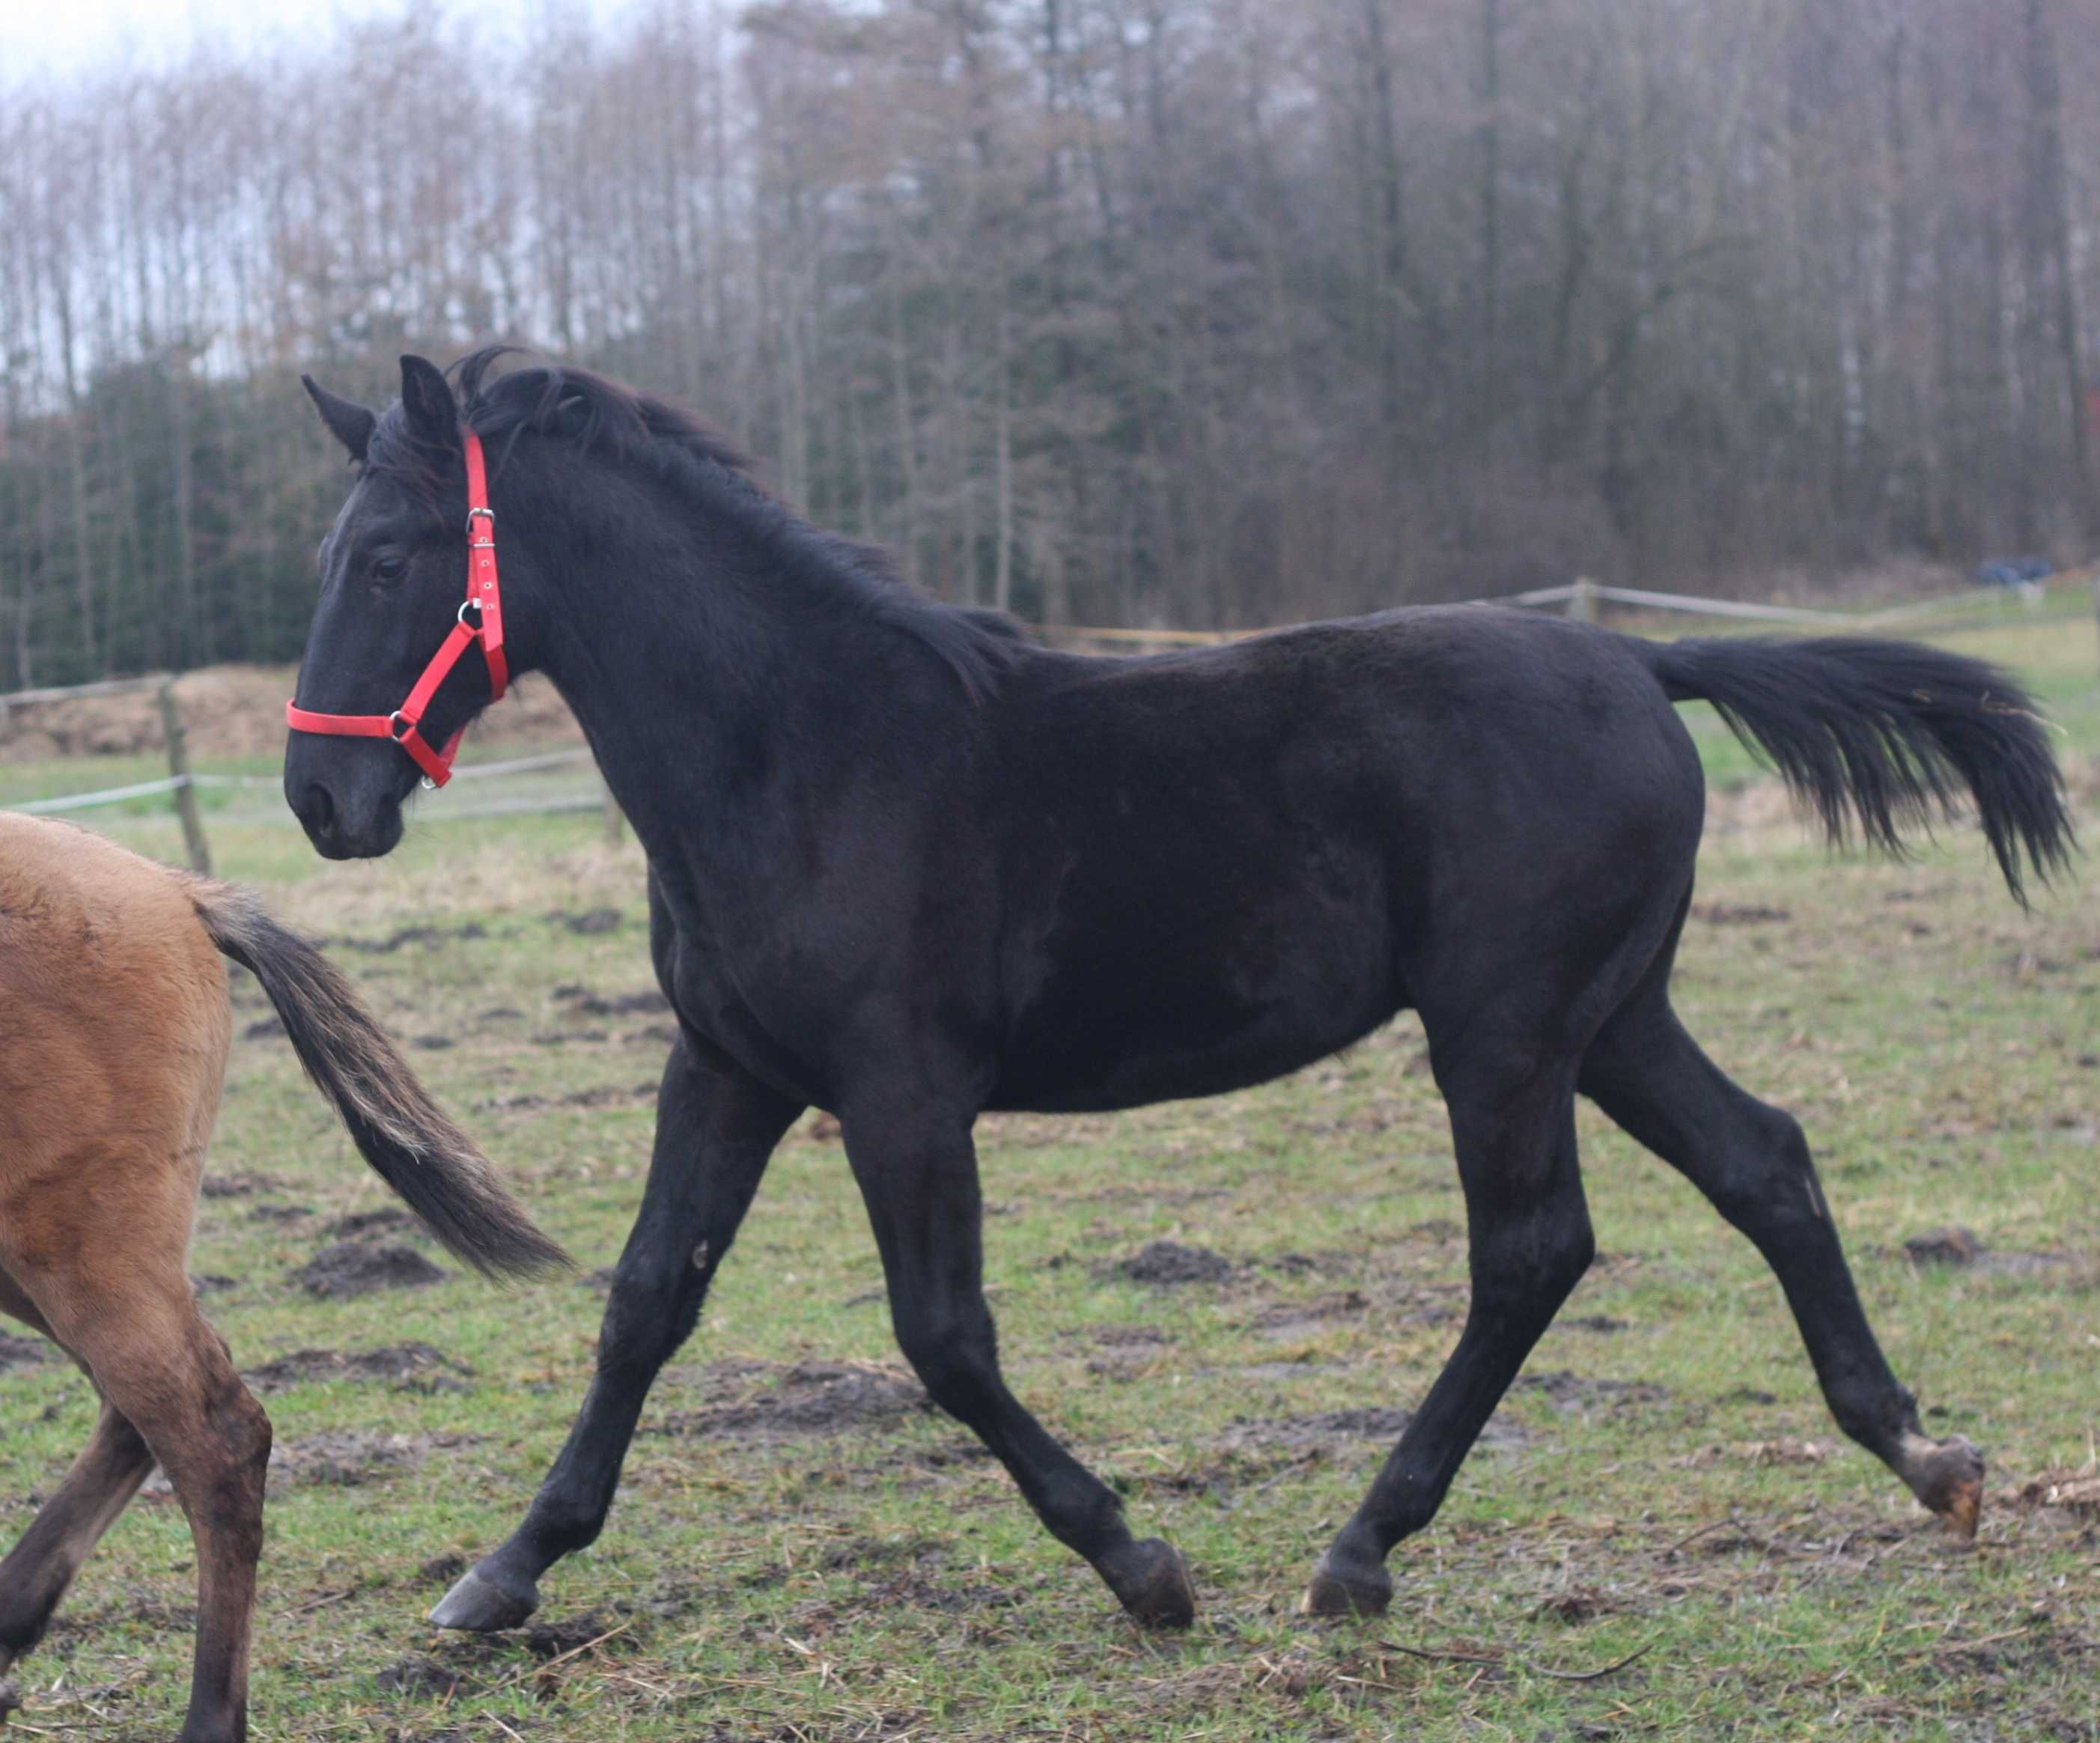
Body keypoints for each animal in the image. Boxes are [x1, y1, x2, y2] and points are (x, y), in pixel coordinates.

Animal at [287, 361, 2075, 1646]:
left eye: (385, 557)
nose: (319, 796)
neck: (800, 750)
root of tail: (1643, 667)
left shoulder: (899, 1088)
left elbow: (942, 1337)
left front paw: (1141, 1564)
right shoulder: (726, 1067)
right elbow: (646, 1302)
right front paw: (500, 1575)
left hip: (1504, 1032)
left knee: (1531, 1249)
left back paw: (1360, 1548)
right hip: (1610, 1015)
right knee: (1763, 1162)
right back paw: (1926, 1459)